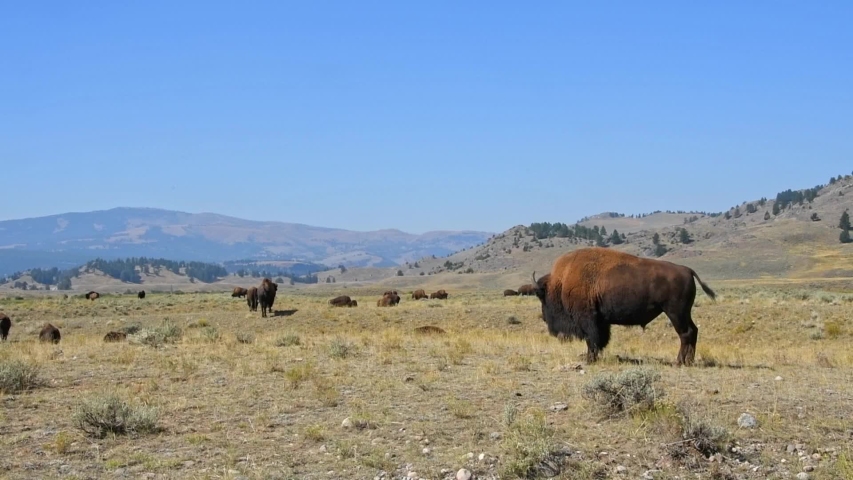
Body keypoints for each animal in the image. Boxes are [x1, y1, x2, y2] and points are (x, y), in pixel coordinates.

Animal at [531, 247, 716, 366]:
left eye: (541, 296)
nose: (545, 318)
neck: (562, 282)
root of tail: (687, 270)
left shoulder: (588, 319)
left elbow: (592, 340)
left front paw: (590, 360)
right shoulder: (601, 321)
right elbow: (600, 339)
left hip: (675, 312)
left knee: (685, 333)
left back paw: (680, 362)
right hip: (684, 313)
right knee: (693, 331)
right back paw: (688, 361)